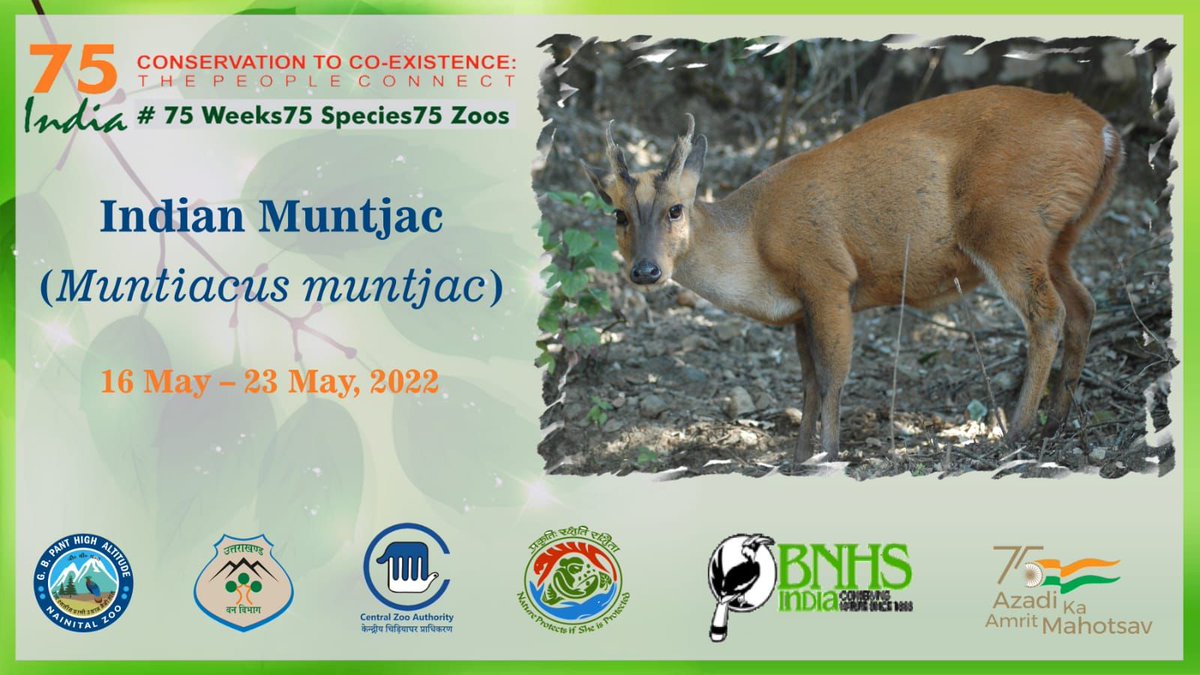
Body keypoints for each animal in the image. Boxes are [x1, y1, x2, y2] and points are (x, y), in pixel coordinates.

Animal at [582, 85, 1123, 464]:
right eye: (618, 215)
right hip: (1058, 237)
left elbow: (833, 375)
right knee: (1084, 304)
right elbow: (807, 382)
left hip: (1007, 222)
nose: (646, 270)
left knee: (1046, 314)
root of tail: (1105, 133)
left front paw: (828, 454)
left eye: (676, 209)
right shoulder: (799, 308)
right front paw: (797, 459)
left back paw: (1016, 431)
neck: (754, 243)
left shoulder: (827, 275)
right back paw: (1056, 422)